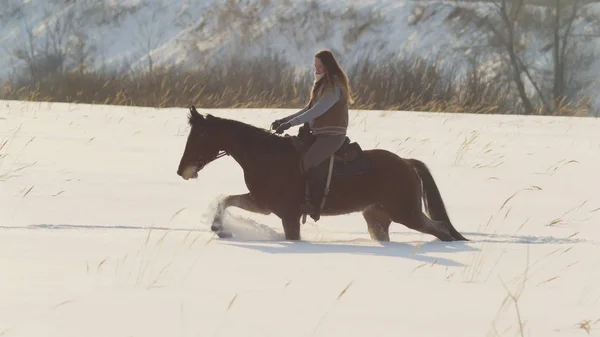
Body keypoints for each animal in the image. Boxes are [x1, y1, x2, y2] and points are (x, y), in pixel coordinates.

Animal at [176, 106, 466, 240]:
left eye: (200, 136)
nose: (182, 170)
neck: (265, 156)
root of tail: (406, 163)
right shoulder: (263, 204)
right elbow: (226, 200)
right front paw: (218, 227)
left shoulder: (288, 215)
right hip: (378, 218)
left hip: (407, 213)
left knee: (441, 229)